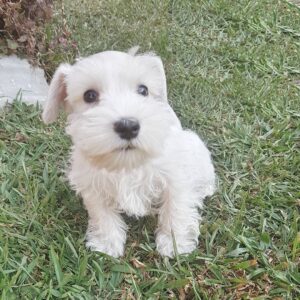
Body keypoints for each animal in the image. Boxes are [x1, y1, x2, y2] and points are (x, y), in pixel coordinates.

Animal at [42, 48, 216, 256]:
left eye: (143, 90)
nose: (127, 126)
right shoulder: (93, 185)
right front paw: (107, 243)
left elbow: (176, 208)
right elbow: (102, 214)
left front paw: (174, 243)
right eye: (89, 95)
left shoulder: (175, 178)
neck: (127, 163)